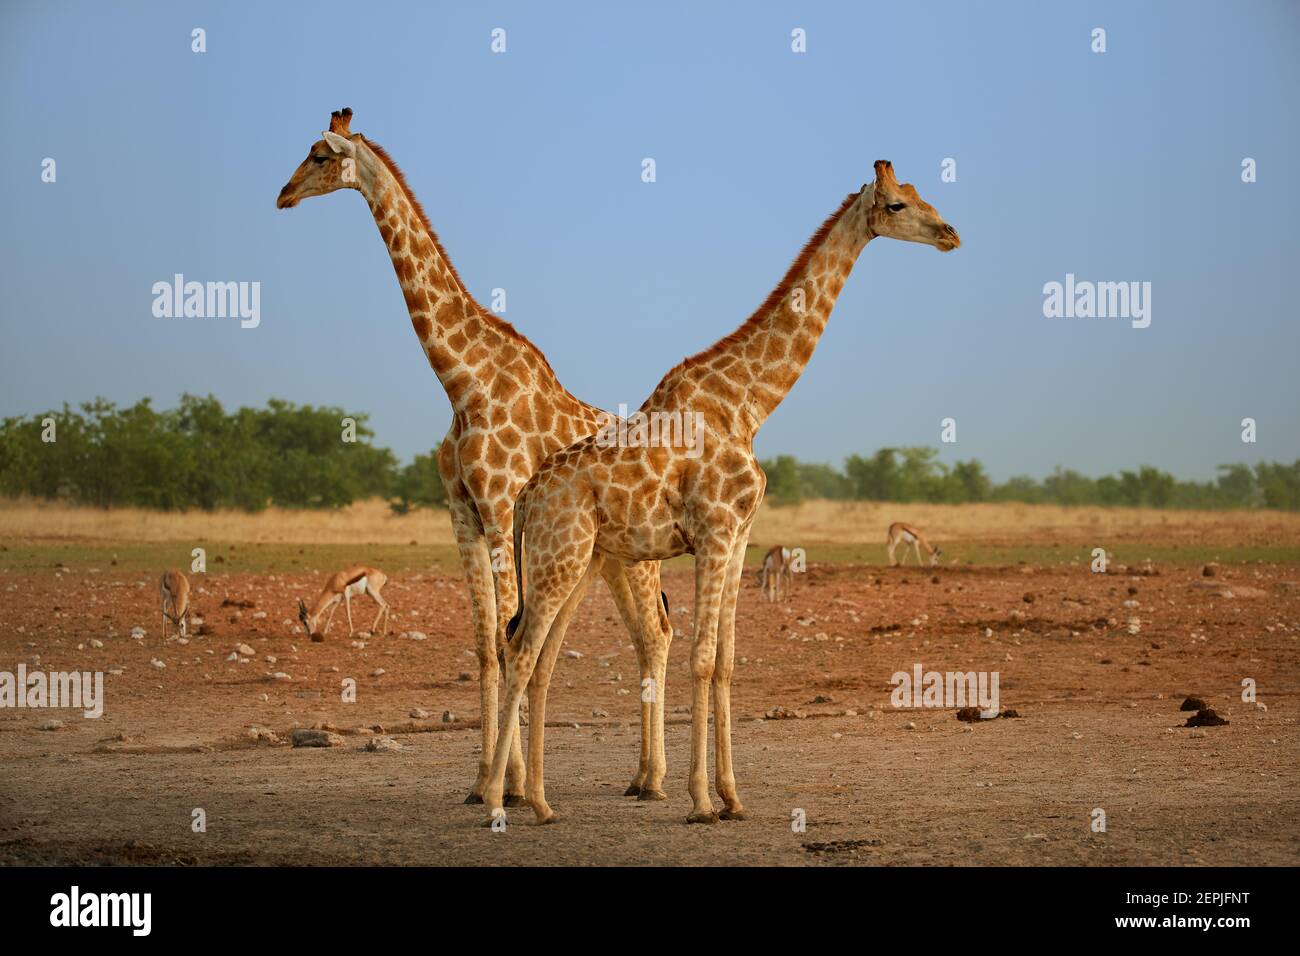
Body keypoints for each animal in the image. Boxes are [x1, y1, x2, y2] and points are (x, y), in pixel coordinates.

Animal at [276, 108, 675, 805]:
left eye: (320, 155)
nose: (283, 194)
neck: (462, 381)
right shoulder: (461, 514)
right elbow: (488, 642)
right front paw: (477, 783)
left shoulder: (499, 506)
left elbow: (509, 635)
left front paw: (508, 787)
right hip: (612, 557)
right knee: (645, 636)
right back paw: (640, 777)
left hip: (636, 555)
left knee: (655, 634)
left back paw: (653, 782)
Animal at [487, 160, 960, 825]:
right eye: (896, 204)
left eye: (920, 195)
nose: (950, 234)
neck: (749, 404)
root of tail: (528, 495)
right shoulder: (711, 534)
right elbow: (703, 657)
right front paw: (701, 801)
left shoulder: (738, 538)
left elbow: (730, 662)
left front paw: (733, 797)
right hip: (560, 557)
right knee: (523, 652)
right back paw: (497, 802)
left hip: (578, 560)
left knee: (541, 657)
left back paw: (542, 803)